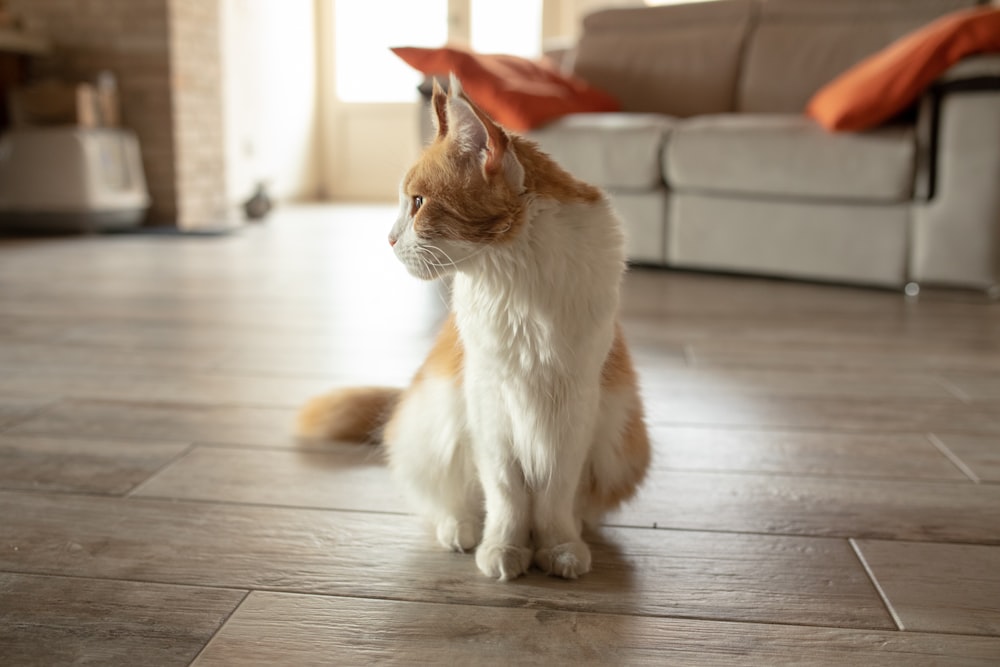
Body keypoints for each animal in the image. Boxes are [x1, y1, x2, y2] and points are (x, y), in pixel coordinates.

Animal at [296, 75, 648, 580]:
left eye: (418, 203)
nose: (388, 239)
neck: (517, 282)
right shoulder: (489, 405)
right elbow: (507, 495)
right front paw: (503, 548)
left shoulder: (573, 406)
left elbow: (554, 496)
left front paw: (559, 547)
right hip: (433, 423)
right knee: (447, 502)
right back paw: (460, 531)